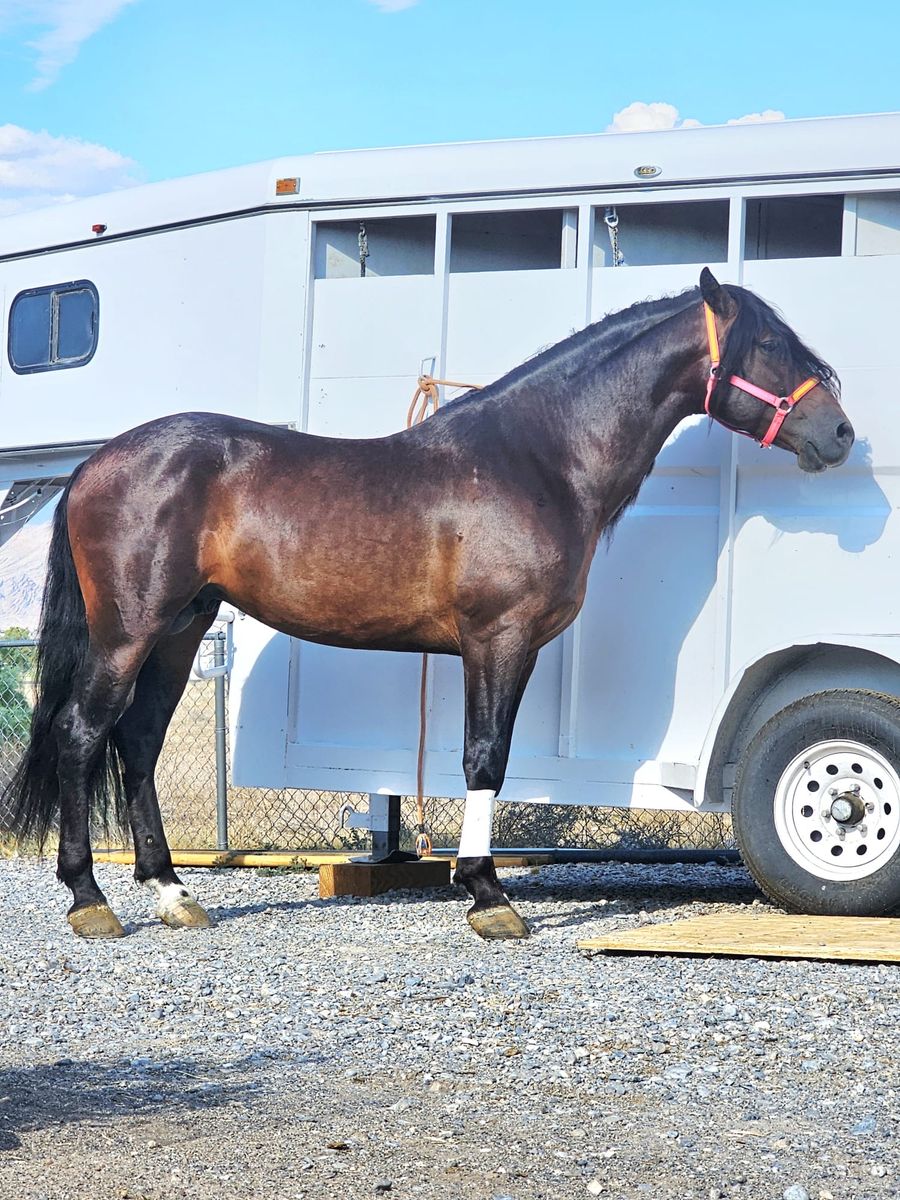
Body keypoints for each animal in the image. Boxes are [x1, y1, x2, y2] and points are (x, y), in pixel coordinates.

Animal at [3, 269, 854, 941]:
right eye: (769, 343)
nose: (842, 434)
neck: (534, 460)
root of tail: (96, 464)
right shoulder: (498, 640)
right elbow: (485, 758)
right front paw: (488, 896)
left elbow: (486, 759)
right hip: (128, 630)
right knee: (83, 733)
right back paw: (90, 899)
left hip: (181, 628)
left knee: (137, 741)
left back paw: (174, 893)